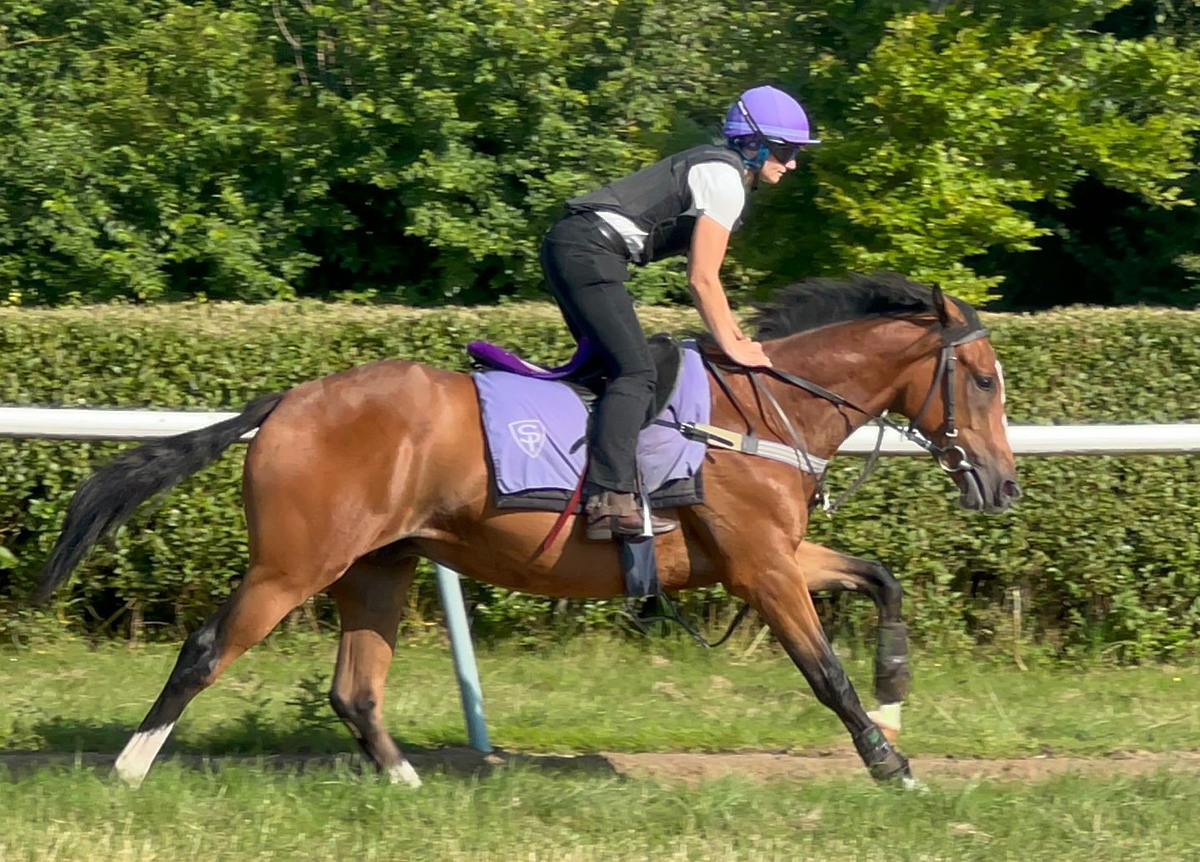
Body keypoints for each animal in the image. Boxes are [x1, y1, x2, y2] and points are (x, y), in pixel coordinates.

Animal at [32, 271, 1017, 792]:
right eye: (983, 380)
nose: (1003, 485)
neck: (758, 412)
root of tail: (287, 402)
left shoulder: (774, 556)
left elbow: (882, 577)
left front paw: (896, 693)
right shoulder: (760, 569)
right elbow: (824, 673)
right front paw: (893, 765)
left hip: (377, 567)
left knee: (355, 689)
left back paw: (408, 783)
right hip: (291, 566)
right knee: (206, 649)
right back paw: (128, 769)